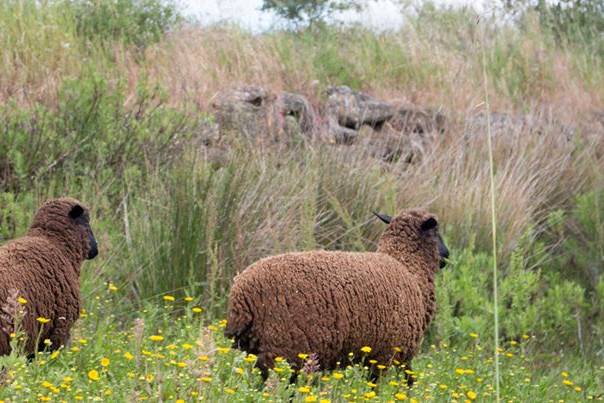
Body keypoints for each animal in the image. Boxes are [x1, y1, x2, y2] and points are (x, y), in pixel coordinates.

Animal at [225, 210, 448, 386]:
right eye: (436, 232)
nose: (447, 254)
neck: (408, 266)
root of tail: (241, 294)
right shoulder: (389, 353)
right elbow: (395, 385)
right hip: (282, 350)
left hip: (259, 349)